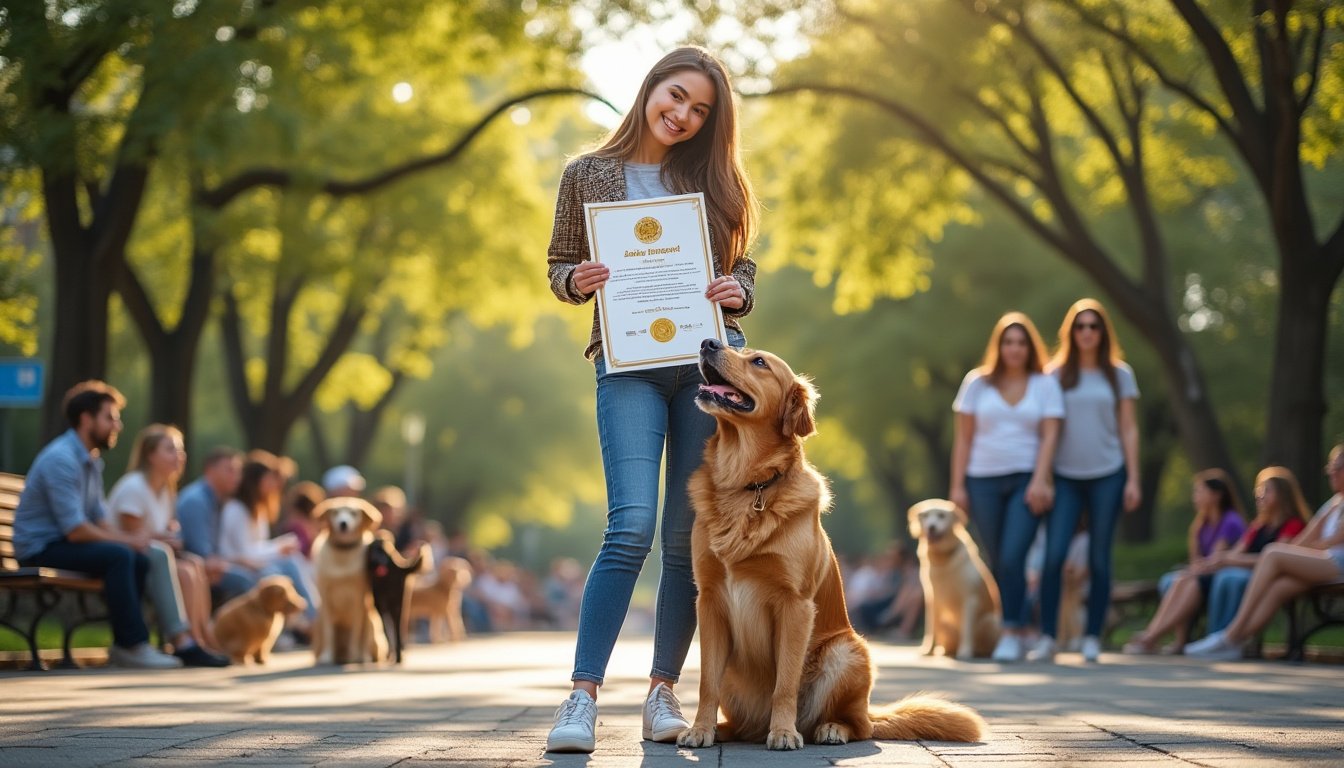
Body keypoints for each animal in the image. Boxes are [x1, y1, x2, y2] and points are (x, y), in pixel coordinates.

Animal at [307, 497, 387, 667]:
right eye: (335, 512)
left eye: (353, 513)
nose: (343, 523)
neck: (343, 553)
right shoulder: (326, 600)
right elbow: (329, 633)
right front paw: (327, 657)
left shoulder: (359, 601)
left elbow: (356, 635)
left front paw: (355, 657)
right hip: (318, 622)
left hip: (371, 621)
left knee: (366, 642)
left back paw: (362, 657)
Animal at [368, 532, 430, 664]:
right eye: (373, 550)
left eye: (383, 551)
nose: (378, 560)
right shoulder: (381, 607)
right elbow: (387, 630)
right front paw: (393, 653)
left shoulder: (395, 605)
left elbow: (394, 629)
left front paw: (397, 655)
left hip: (403, 603)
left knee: (400, 626)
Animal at [677, 341, 983, 753]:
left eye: (759, 362)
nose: (708, 343)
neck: (746, 484)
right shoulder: (709, 598)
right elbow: (705, 681)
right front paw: (700, 728)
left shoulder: (795, 603)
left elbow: (785, 683)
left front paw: (784, 732)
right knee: (741, 722)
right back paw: (726, 729)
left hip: (848, 652)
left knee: (859, 725)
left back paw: (829, 729)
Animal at [908, 497, 1005, 661]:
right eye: (925, 516)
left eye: (941, 515)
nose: (931, 527)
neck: (943, 559)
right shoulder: (932, 599)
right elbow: (931, 629)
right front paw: (928, 650)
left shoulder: (970, 598)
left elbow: (967, 629)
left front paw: (965, 652)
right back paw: (944, 651)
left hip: (988, 621)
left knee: (983, 644)